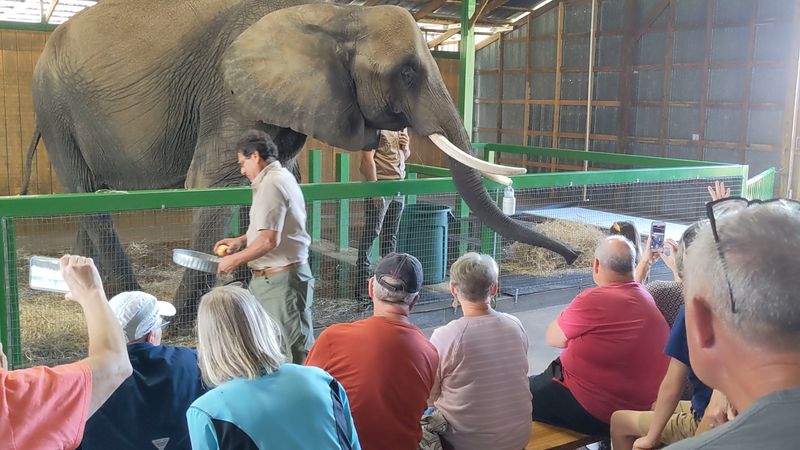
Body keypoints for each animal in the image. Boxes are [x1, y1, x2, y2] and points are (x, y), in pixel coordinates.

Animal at [24, 0, 579, 325]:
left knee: (85, 199)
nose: (573, 257)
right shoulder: (228, 92)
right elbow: (208, 182)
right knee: (85, 194)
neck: (336, 16)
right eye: (406, 72)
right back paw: (129, 298)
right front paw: (180, 318)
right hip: (52, 102)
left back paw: (89, 290)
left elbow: (276, 184)